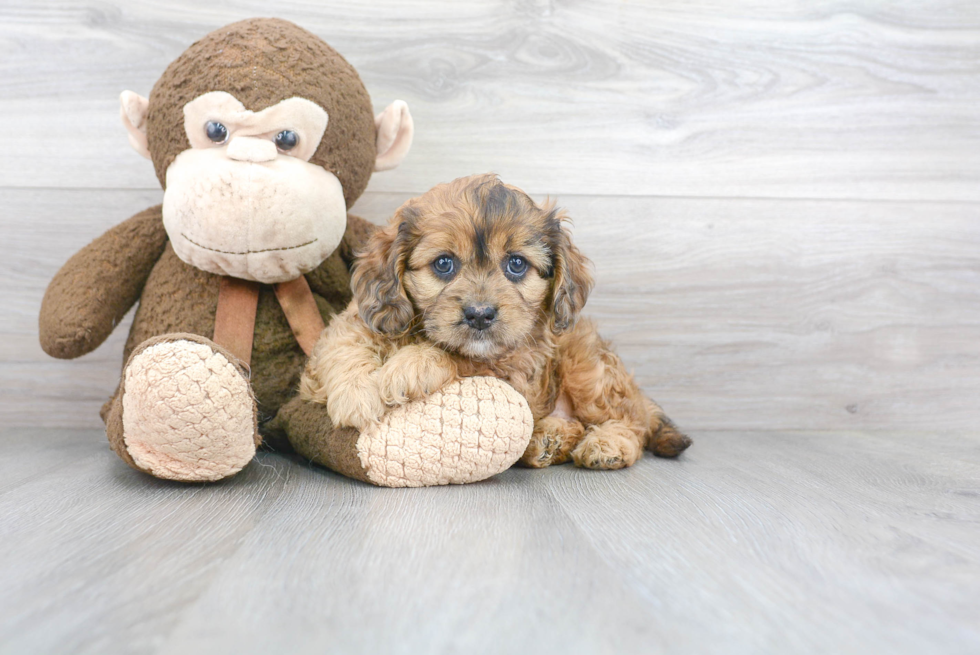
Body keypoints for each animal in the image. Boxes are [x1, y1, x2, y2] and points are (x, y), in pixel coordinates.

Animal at [298, 174, 688, 468]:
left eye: (516, 264)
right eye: (444, 263)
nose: (480, 314)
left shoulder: (512, 367)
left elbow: (461, 359)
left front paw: (412, 364)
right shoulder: (357, 322)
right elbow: (344, 344)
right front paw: (356, 395)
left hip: (587, 365)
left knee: (632, 421)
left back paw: (607, 444)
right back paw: (548, 440)